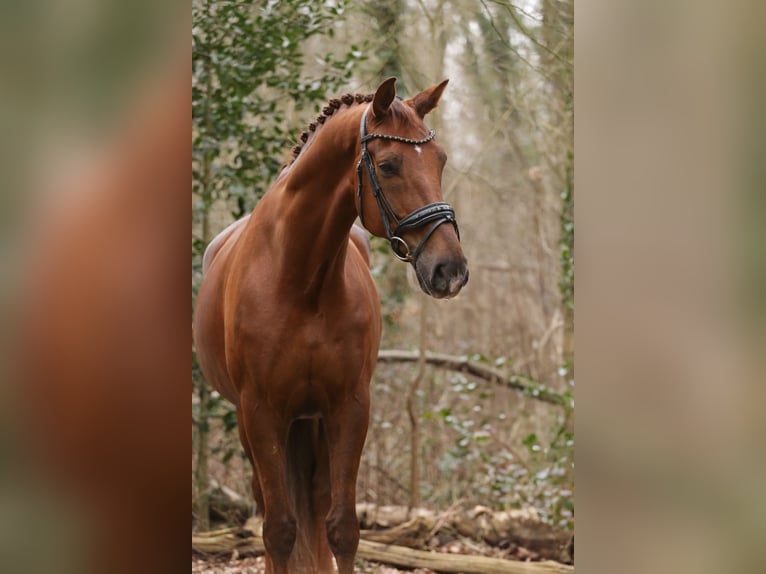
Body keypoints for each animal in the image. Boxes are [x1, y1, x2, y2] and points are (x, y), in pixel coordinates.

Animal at [194, 77, 468, 574]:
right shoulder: (260, 412)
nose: (450, 270)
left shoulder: (349, 407)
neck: (302, 280)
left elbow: (341, 528)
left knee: (317, 501)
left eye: (439, 161)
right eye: (389, 165)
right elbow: (279, 530)